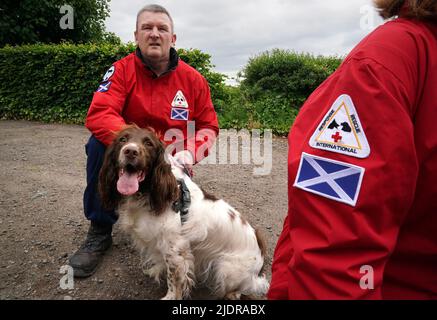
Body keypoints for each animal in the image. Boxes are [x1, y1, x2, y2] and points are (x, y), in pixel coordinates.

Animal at [99, 125, 270, 300]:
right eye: (123, 139)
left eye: (148, 143)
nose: (130, 151)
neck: (149, 193)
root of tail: (260, 260)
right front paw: (156, 270)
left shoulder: (175, 250)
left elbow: (174, 279)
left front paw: (170, 296)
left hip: (226, 269)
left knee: (241, 290)